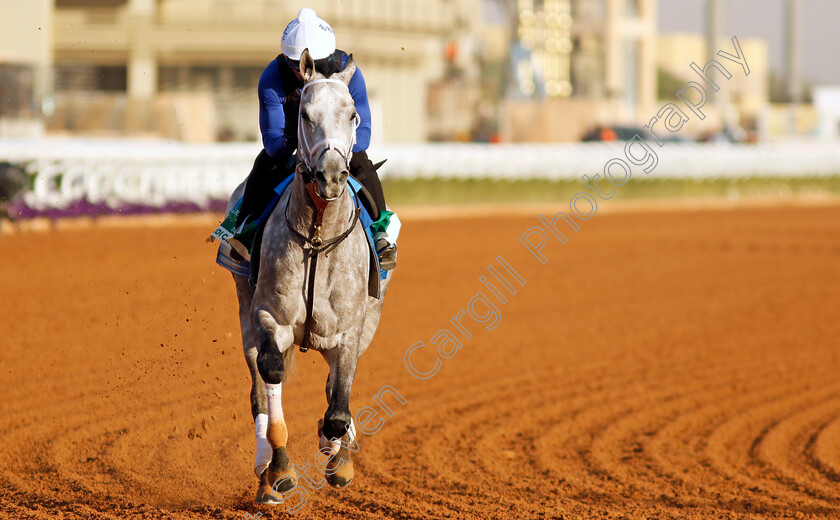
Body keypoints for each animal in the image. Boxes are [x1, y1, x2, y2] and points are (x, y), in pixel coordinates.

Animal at [223, 48, 394, 504]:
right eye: (304, 112)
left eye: (353, 113)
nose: (332, 175)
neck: (318, 238)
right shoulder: (269, 316)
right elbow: (271, 373)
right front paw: (280, 469)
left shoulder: (352, 332)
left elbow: (338, 404)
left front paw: (339, 459)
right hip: (244, 309)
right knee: (259, 388)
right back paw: (266, 471)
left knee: (334, 394)